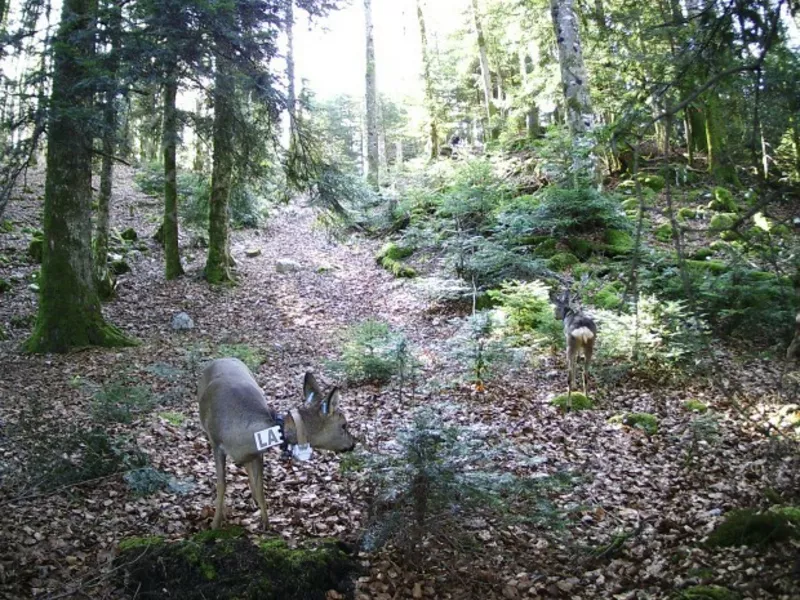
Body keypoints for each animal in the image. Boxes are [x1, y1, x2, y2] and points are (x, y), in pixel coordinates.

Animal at [198, 358, 354, 528]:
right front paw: (215, 524)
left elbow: (260, 485)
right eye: (344, 425)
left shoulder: (258, 452)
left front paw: (266, 524)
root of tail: (223, 358)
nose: (353, 443)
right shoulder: (216, 443)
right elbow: (221, 484)